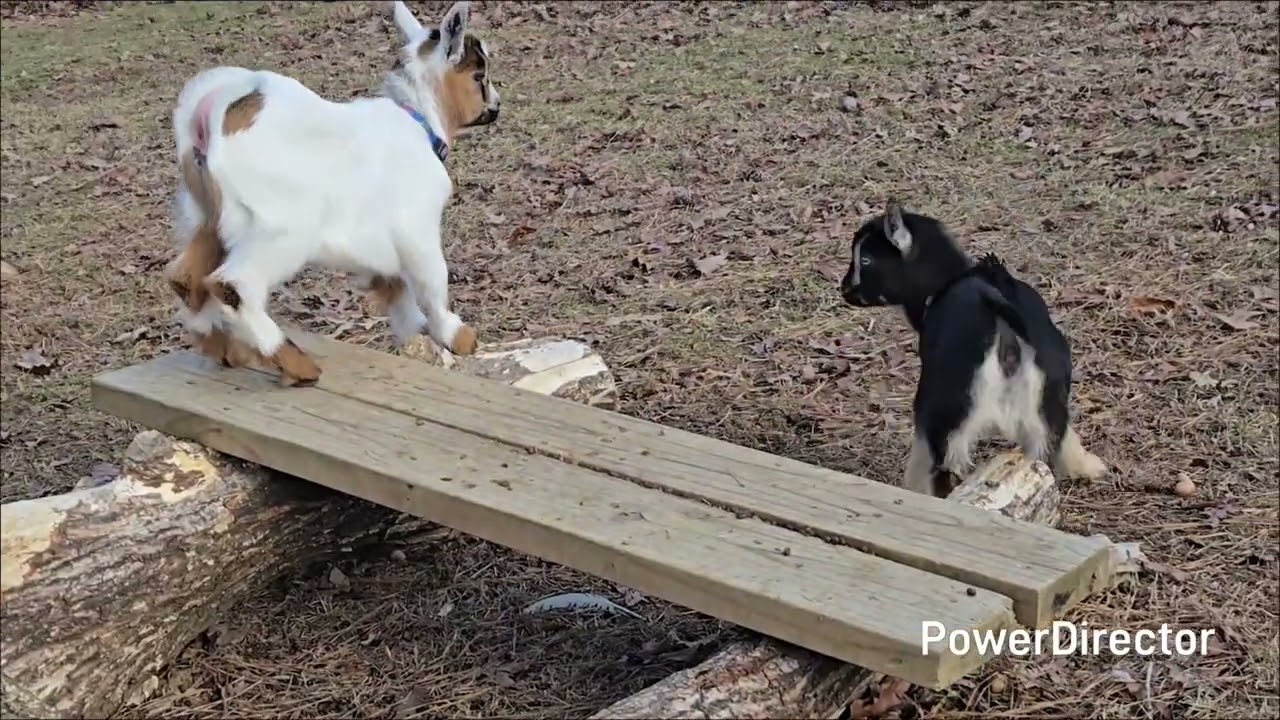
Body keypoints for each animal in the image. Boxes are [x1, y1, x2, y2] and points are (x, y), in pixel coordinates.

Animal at [165, 0, 500, 386]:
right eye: (479, 75)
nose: (496, 107)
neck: (419, 118)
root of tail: (211, 113)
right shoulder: (416, 227)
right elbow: (432, 282)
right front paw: (457, 336)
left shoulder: (373, 245)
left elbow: (395, 288)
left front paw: (417, 333)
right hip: (283, 229)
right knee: (233, 284)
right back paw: (295, 364)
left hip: (210, 216)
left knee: (184, 277)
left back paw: (224, 349)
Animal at [839, 202, 1107, 497]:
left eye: (866, 260)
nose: (845, 289)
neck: (943, 283)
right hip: (1045, 400)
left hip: (947, 407)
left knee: (940, 464)